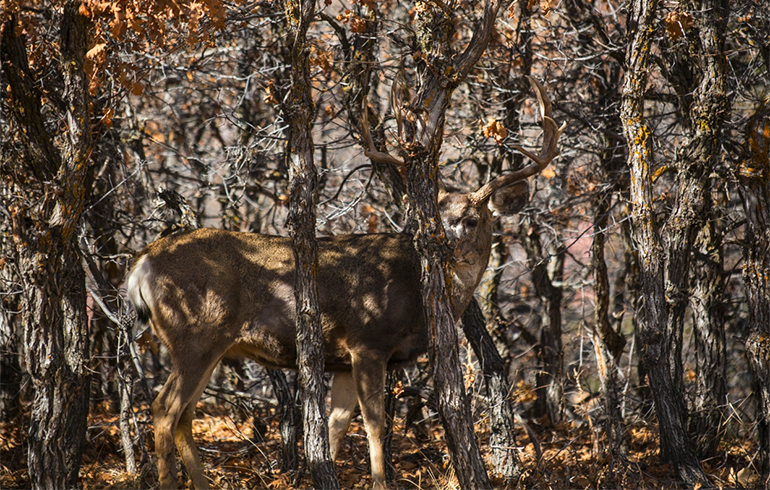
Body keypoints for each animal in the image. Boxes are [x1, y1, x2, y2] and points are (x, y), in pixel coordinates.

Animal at [124, 77, 560, 490]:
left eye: (472, 219)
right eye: (431, 217)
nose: (441, 246)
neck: (416, 296)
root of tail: (142, 262)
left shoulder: (343, 360)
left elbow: (335, 427)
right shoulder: (367, 341)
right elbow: (374, 425)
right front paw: (380, 482)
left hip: (212, 344)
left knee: (184, 414)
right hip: (195, 333)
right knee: (164, 410)